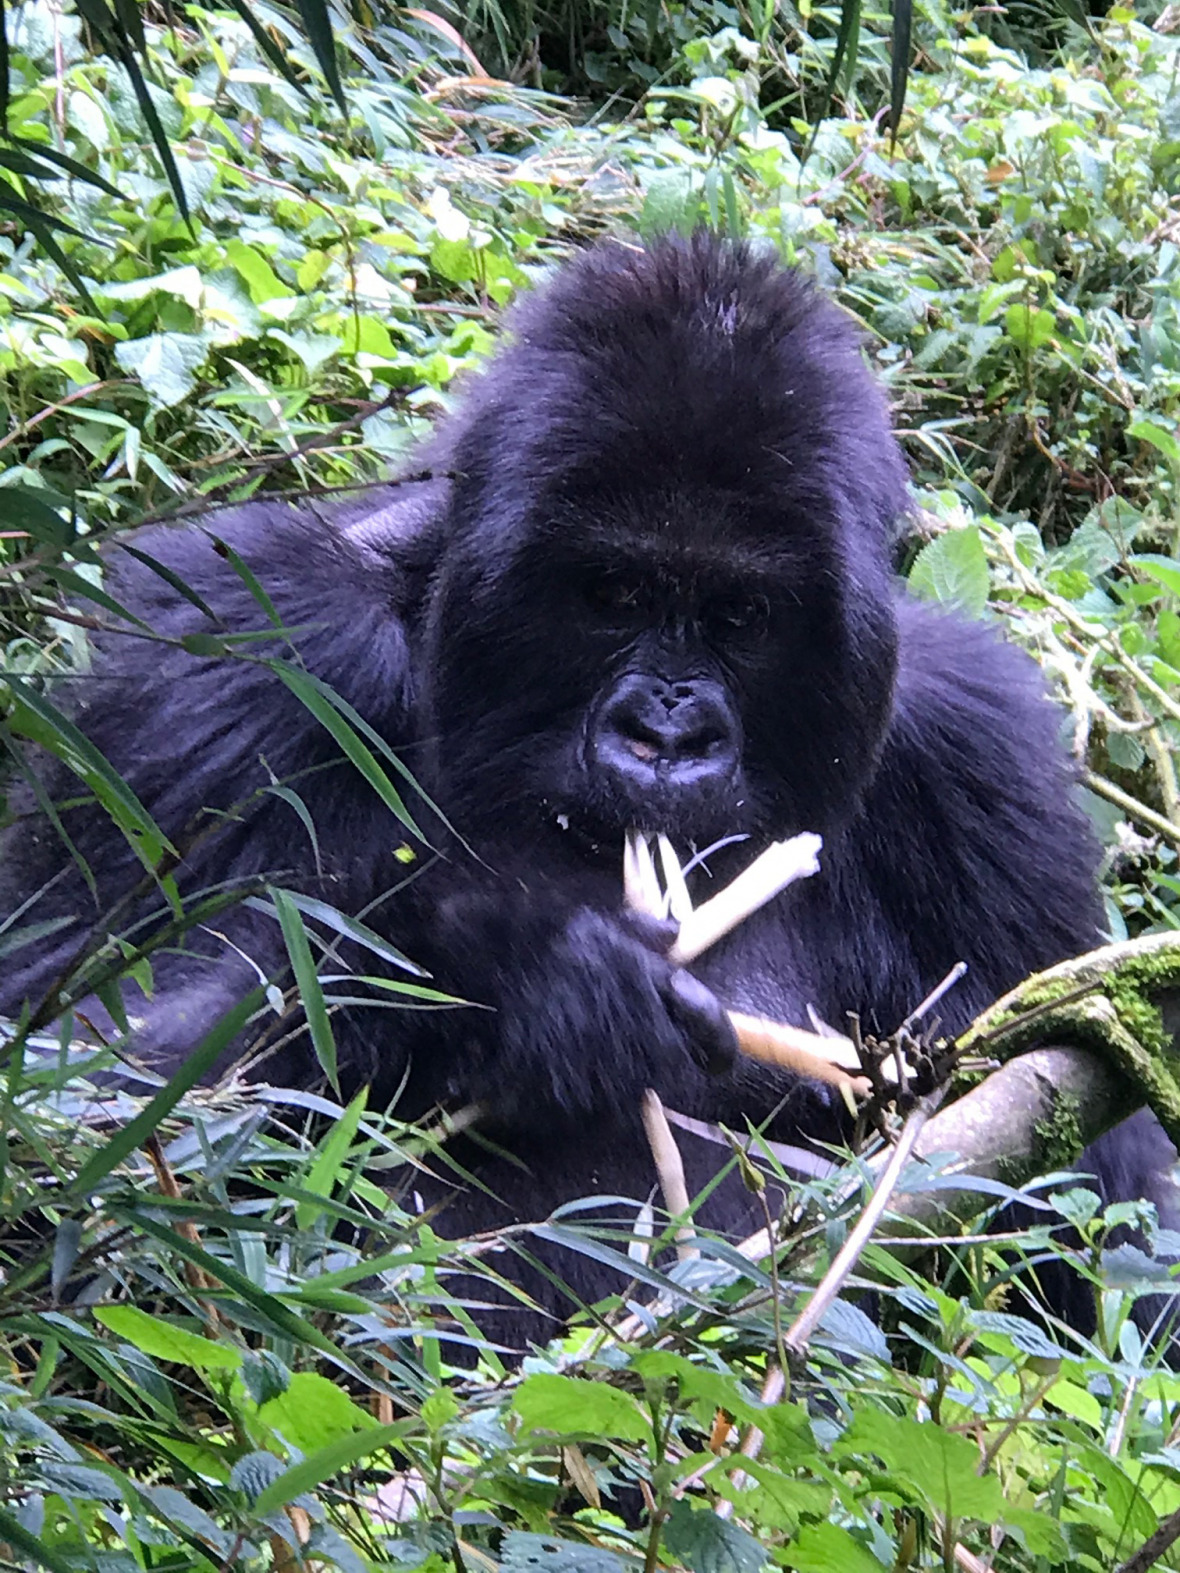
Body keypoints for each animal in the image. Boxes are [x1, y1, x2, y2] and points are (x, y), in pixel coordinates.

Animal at [0, 232, 1157, 1352]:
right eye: (614, 593)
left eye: (742, 615)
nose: (666, 735)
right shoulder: (237, 639)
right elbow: (74, 1074)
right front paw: (514, 978)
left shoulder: (976, 762)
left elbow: (1109, 1223)